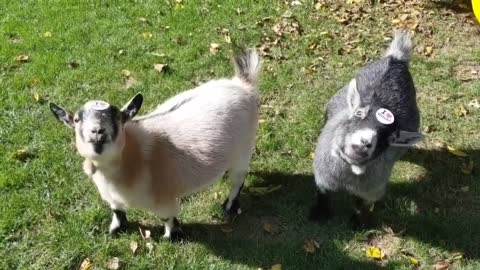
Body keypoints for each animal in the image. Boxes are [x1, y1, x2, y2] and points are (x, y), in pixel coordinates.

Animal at [50, 48, 260, 238]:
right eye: (76, 120)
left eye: (118, 118)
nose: (97, 132)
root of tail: (243, 84)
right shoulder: (111, 197)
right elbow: (117, 211)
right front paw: (115, 230)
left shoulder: (164, 200)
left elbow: (167, 218)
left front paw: (171, 236)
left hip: (245, 147)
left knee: (238, 180)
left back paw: (229, 207)